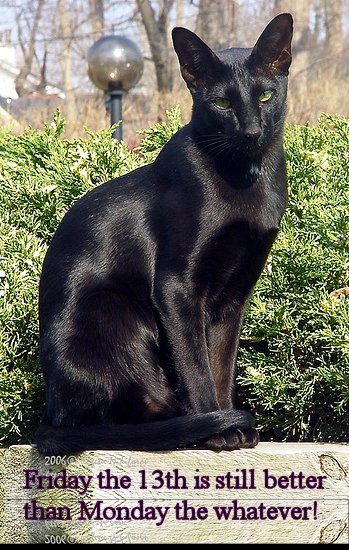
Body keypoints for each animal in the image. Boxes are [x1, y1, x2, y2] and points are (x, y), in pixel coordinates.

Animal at [35, 12, 292, 454]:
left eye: (264, 96)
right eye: (222, 103)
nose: (250, 131)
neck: (246, 178)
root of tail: (52, 415)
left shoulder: (234, 297)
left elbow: (221, 365)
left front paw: (231, 424)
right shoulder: (177, 288)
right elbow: (195, 366)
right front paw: (219, 428)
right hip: (115, 310)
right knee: (124, 415)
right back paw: (184, 425)